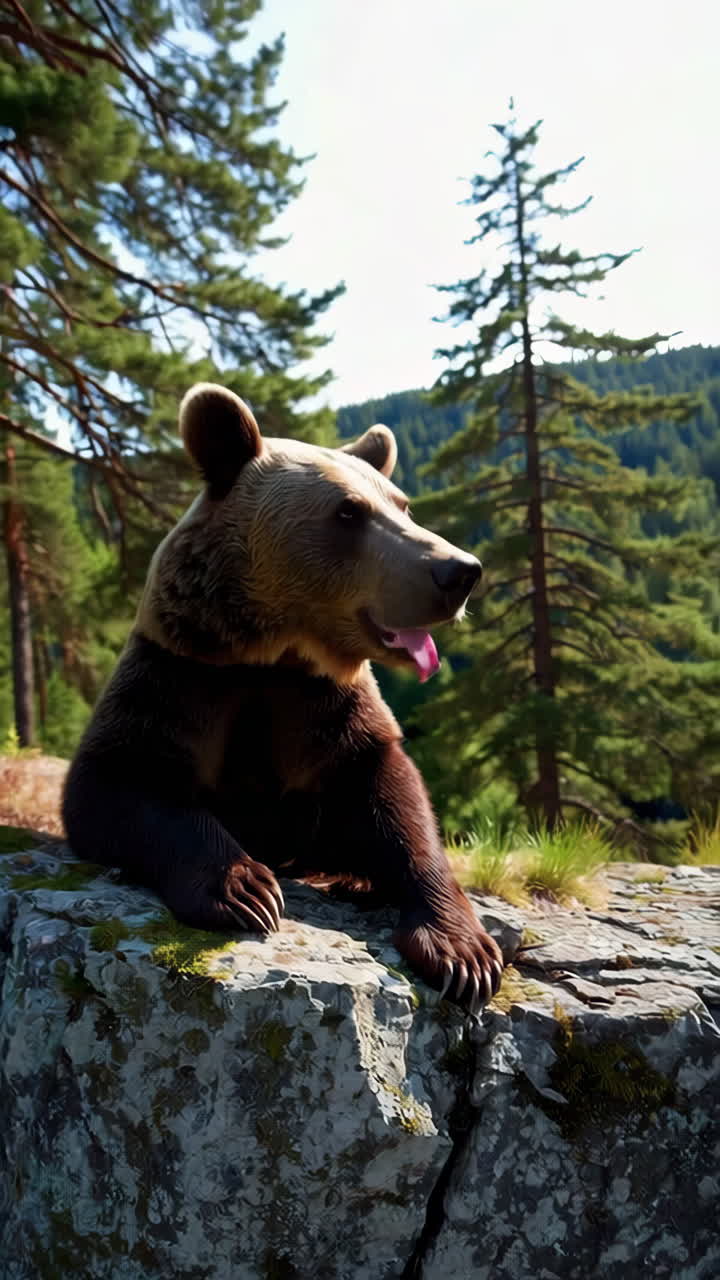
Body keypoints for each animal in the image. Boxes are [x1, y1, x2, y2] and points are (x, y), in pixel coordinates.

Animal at [62, 384, 503, 1014]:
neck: (275, 651)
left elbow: (395, 796)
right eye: (348, 511)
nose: (459, 570)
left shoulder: (326, 707)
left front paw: (462, 952)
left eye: (402, 505)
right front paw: (245, 888)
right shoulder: (184, 677)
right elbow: (121, 782)